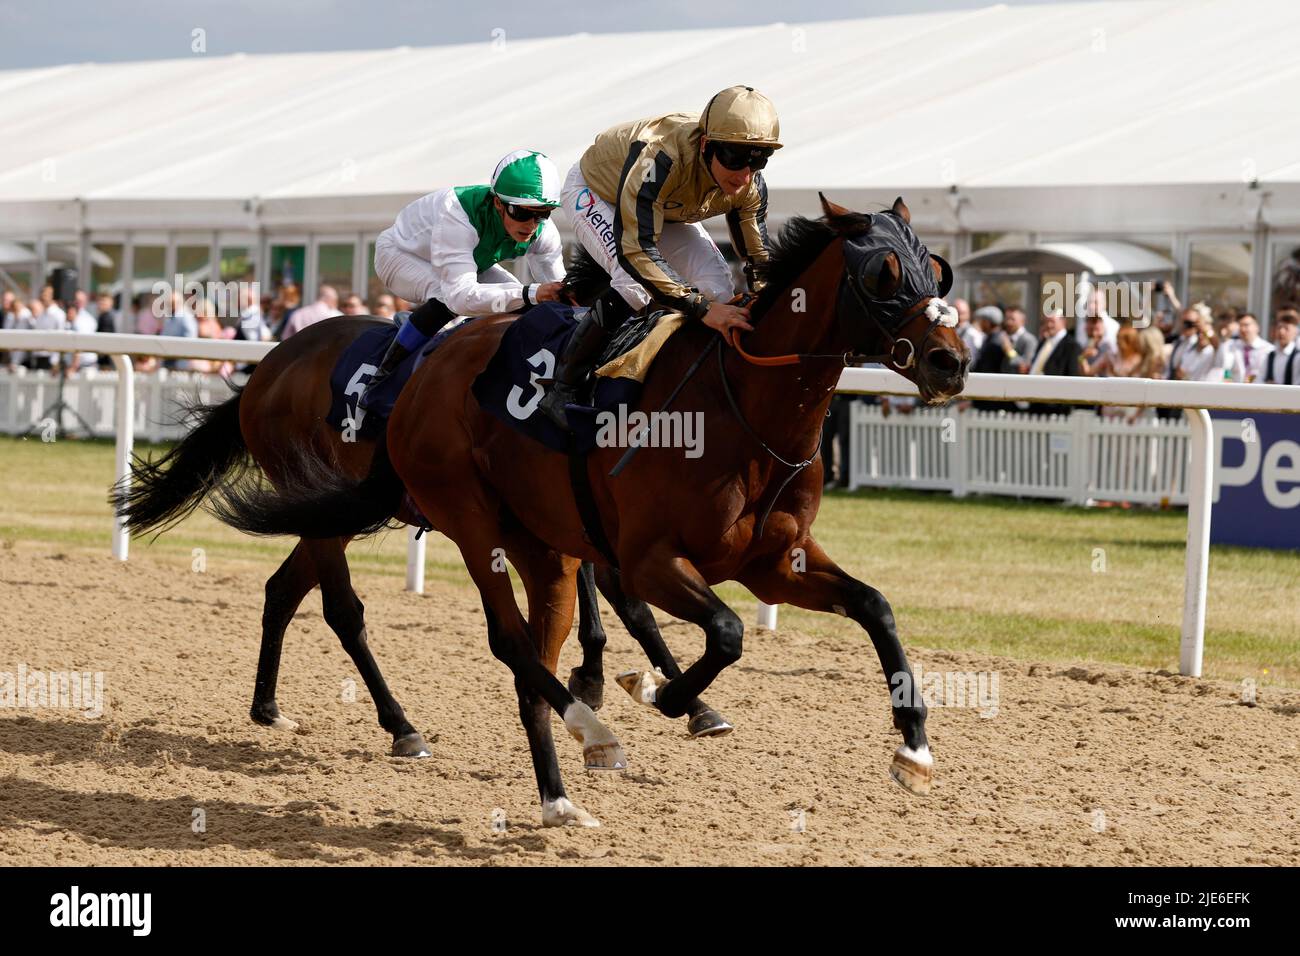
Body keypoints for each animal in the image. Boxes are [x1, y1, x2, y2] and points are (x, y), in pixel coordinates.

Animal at [202, 192, 972, 822]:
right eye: (882, 275)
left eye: (936, 270)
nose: (950, 362)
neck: (742, 409)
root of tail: (269, 368)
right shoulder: (648, 556)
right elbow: (721, 631)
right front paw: (664, 695)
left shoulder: (773, 562)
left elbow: (874, 607)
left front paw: (915, 750)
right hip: (461, 519)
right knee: (449, 630)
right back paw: (457, 729)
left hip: (496, 535)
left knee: (300, 592)